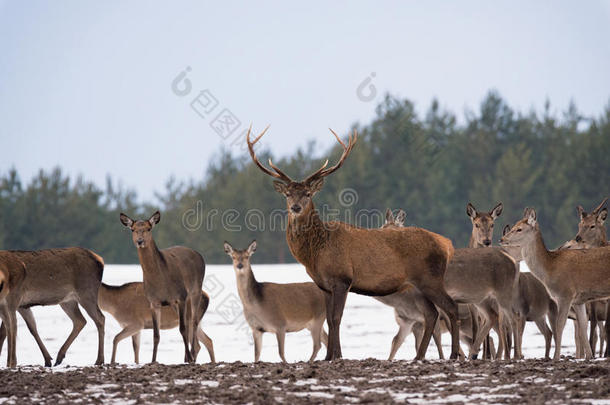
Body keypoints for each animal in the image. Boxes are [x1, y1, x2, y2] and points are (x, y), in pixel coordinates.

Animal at [119, 211, 204, 362]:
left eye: (148, 228)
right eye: (133, 229)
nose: (139, 241)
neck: (160, 281)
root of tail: (199, 255)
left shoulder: (181, 296)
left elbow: (182, 329)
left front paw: (189, 358)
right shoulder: (154, 302)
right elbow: (156, 334)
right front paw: (153, 361)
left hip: (195, 291)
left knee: (193, 321)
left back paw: (192, 355)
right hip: (179, 302)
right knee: (189, 321)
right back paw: (188, 356)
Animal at [245, 126, 458, 360]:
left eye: (308, 193)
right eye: (288, 194)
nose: (296, 208)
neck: (316, 253)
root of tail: (446, 244)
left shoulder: (342, 278)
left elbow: (336, 318)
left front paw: (336, 356)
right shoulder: (324, 285)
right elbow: (330, 320)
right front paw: (330, 356)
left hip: (431, 279)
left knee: (451, 308)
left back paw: (454, 354)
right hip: (417, 285)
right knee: (431, 314)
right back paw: (418, 357)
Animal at [496, 207, 608, 358]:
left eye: (519, 229)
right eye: (513, 226)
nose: (502, 239)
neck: (550, 269)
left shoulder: (565, 294)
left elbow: (559, 326)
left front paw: (556, 357)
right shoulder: (579, 300)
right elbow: (583, 326)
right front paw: (589, 356)